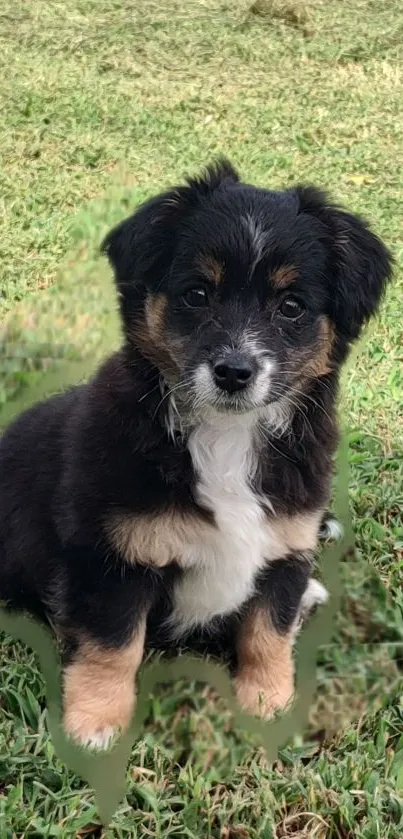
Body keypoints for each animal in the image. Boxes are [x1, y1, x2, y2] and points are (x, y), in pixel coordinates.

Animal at [0, 162, 392, 748]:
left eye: (291, 306)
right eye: (197, 294)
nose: (233, 372)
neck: (227, 436)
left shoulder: (286, 543)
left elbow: (268, 632)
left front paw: (269, 704)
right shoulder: (111, 558)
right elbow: (113, 646)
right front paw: (95, 725)